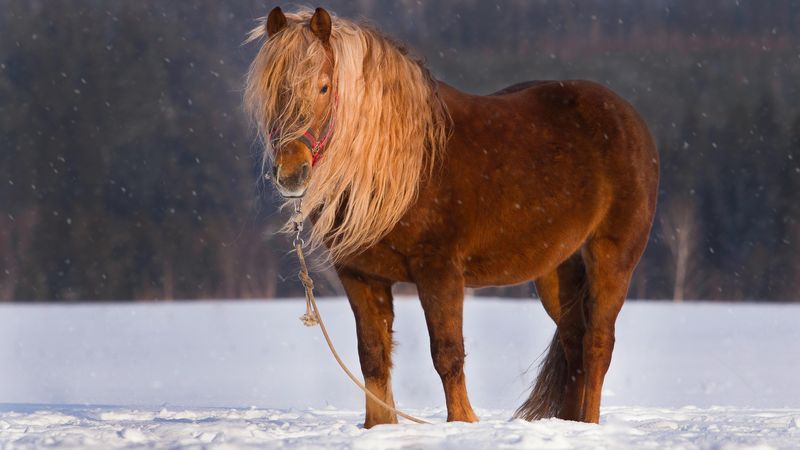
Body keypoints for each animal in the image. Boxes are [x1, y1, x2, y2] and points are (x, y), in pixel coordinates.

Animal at [245, 7, 659, 428]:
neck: (404, 164)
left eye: (325, 87)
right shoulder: (360, 275)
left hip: (611, 259)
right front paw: (379, 427)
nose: (291, 173)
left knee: (597, 344)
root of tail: (628, 118)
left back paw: (589, 422)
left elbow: (447, 353)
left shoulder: (439, 271)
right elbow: (372, 356)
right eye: (273, 90)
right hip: (557, 269)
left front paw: (462, 423)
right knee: (574, 343)